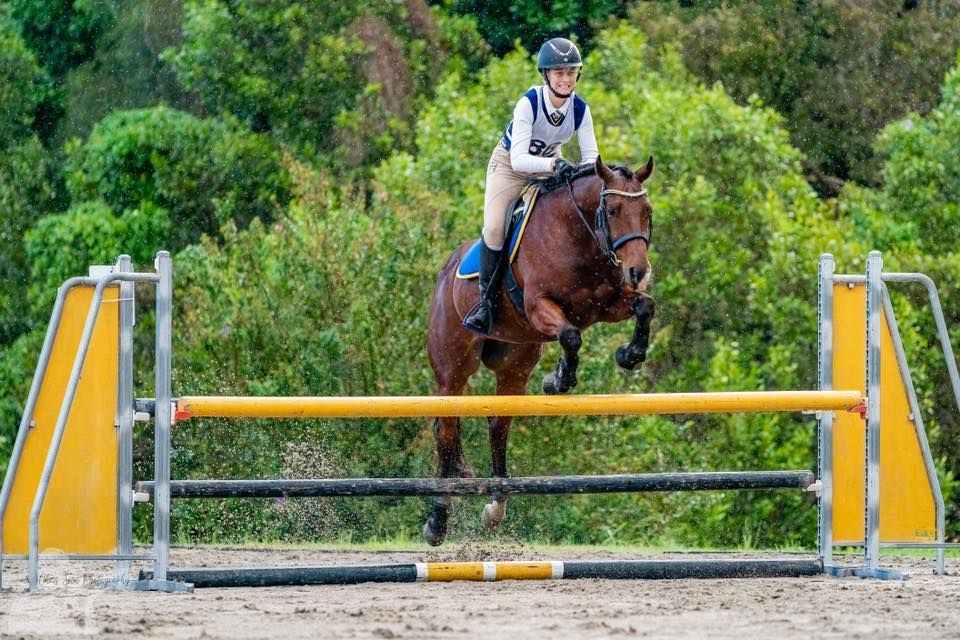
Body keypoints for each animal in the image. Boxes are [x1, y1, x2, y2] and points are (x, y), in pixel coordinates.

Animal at [424, 156, 656, 544]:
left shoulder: (606, 305)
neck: (579, 235)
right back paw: (437, 520)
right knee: (447, 430)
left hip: (515, 365)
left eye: (647, 212)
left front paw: (630, 355)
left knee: (498, 425)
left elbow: (645, 307)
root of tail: (444, 274)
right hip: (452, 371)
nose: (639, 271)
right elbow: (571, 336)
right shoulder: (539, 307)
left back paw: (496, 506)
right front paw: (560, 379)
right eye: (612, 209)